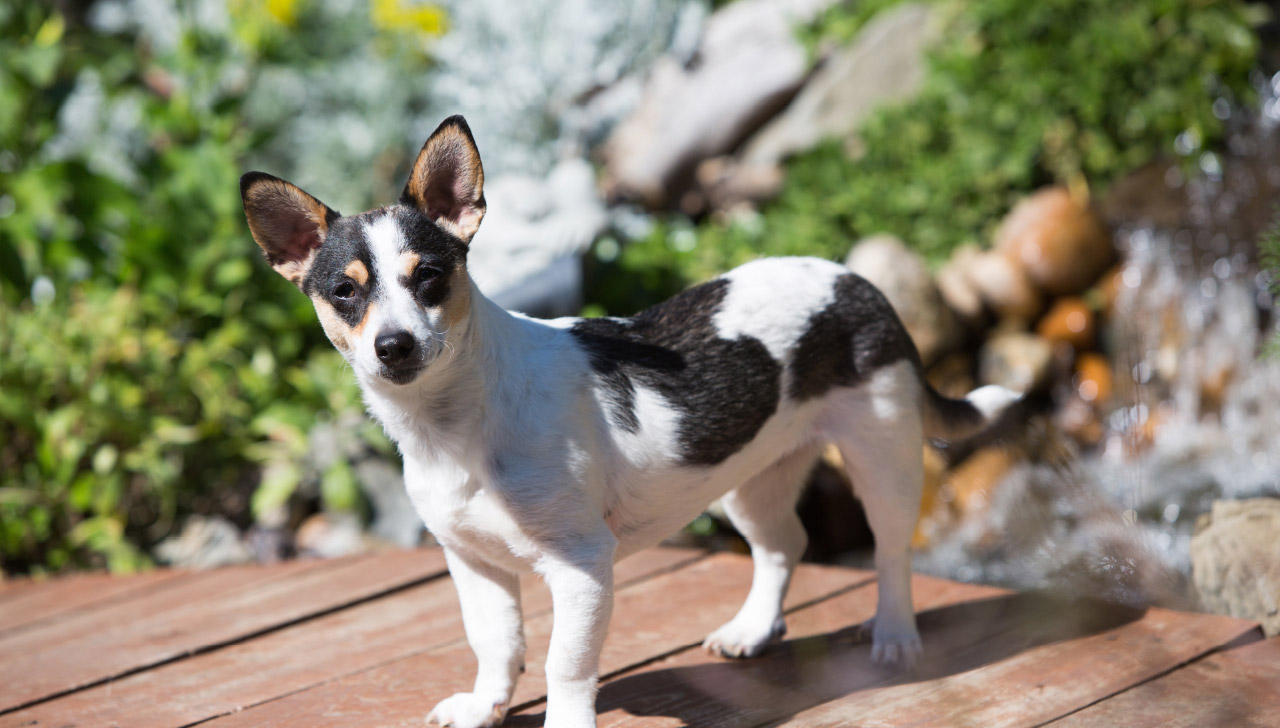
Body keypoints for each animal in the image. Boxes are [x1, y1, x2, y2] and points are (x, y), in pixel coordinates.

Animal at [240, 115, 1018, 726]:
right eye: (345, 293)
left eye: (428, 277)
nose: (393, 345)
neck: (453, 424)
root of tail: (856, 280)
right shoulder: (473, 563)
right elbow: (496, 643)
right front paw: (485, 706)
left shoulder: (582, 567)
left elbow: (563, 666)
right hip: (749, 475)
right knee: (783, 545)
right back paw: (753, 629)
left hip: (884, 459)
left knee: (890, 551)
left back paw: (894, 634)